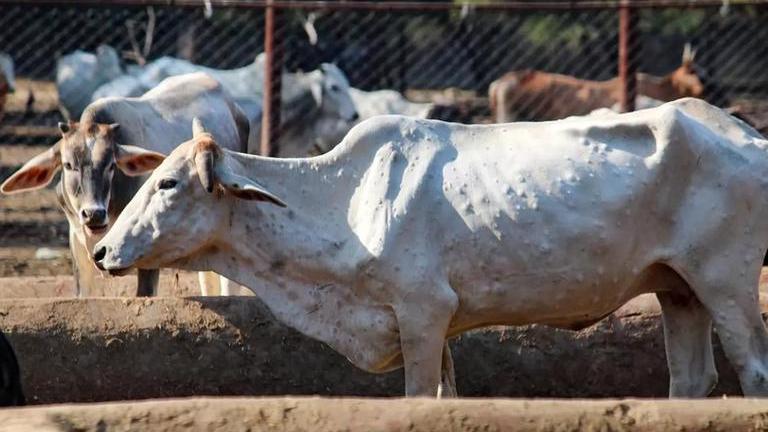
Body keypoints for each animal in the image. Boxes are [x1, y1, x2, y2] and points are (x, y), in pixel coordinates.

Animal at [93, 98, 768, 398]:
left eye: (168, 182)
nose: (102, 252)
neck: (345, 200)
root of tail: (746, 133)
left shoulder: (421, 313)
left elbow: (420, 398)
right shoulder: (440, 326)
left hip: (727, 282)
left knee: (753, 369)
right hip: (679, 289)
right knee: (692, 380)